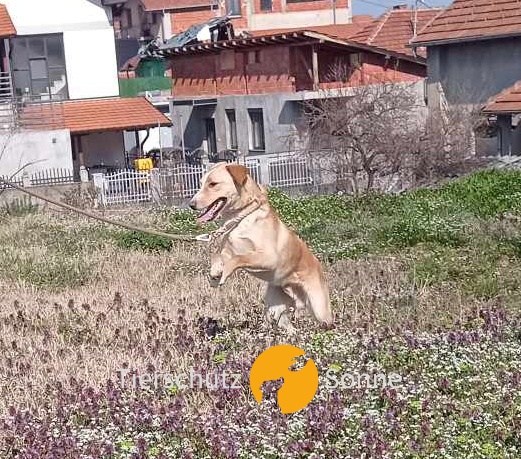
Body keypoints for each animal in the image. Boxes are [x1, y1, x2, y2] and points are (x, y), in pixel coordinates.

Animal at [189, 162, 333, 333]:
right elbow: (216, 256)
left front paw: (223, 274)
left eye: (212, 184)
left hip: (319, 309)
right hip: (274, 308)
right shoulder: (227, 250)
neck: (240, 219)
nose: (191, 204)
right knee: (289, 327)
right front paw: (215, 273)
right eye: (200, 184)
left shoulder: (268, 257)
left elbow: (238, 259)